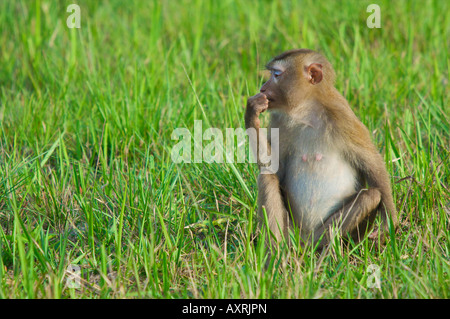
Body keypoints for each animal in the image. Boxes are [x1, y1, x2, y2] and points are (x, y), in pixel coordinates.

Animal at [246, 49, 398, 250]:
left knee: (371, 196)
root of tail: (305, 240)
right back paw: (276, 252)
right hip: (291, 229)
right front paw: (251, 112)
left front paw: (389, 222)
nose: (262, 88)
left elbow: (372, 164)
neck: (307, 112)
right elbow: (274, 170)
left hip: (322, 233)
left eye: (276, 75)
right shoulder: (279, 121)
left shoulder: (343, 117)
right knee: (267, 178)